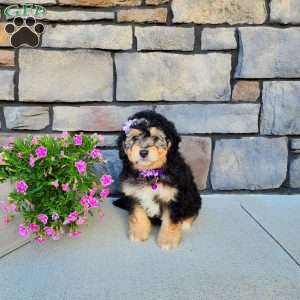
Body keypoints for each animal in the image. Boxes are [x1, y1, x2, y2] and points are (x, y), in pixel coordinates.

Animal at [115, 111, 202, 250]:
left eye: (156, 138)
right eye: (135, 138)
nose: (143, 152)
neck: (150, 172)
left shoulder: (174, 198)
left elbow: (170, 222)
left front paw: (168, 241)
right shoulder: (134, 195)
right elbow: (138, 217)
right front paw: (138, 234)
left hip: (193, 196)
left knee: (193, 210)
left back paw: (185, 222)